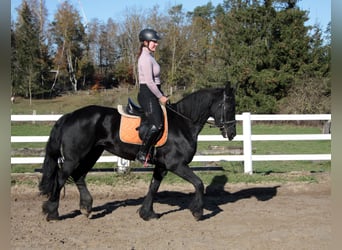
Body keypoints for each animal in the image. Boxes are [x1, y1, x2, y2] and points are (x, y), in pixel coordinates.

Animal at [39, 82, 235, 221]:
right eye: (229, 106)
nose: (232, 133)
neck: (183, 124)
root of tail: (70, 116)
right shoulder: (176, 164)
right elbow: (198, 183)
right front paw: (197, 212)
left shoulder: (162, 166)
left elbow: (153, 187)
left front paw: (147, 213)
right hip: (74, 157)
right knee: (61, 177)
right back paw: (52, 212)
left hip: (92, 153)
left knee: (79, 175)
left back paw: (86, 207)